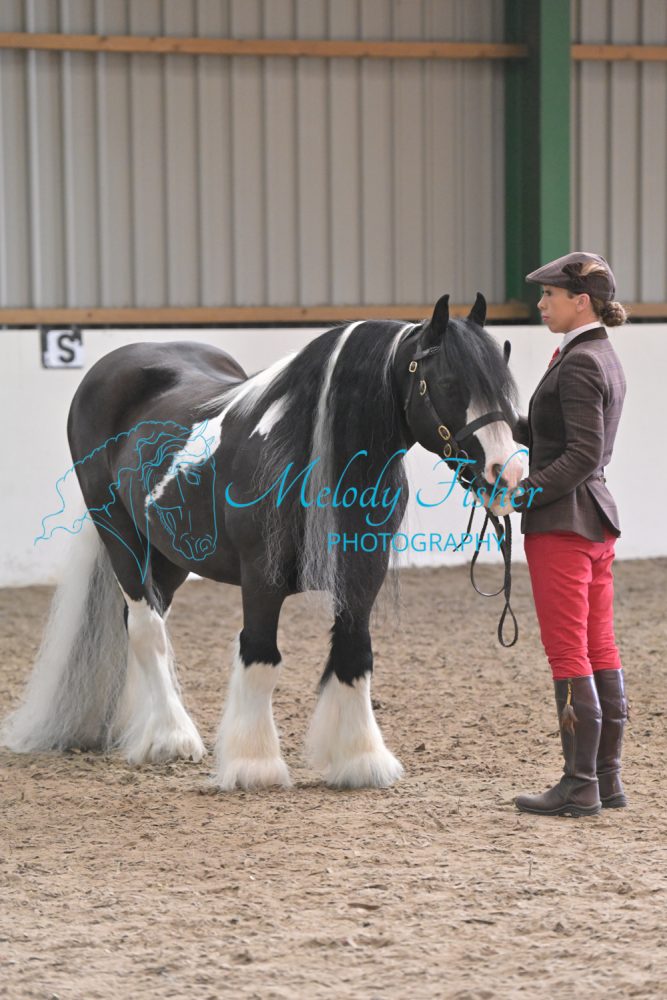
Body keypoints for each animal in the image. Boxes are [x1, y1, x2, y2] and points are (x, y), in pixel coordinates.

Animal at [1, 293, 524, 789]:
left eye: (504, 383)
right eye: (449, 382)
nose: (508, 474)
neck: (313, 454)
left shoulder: (362, 575)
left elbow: (355, 653)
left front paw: (360, 760)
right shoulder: (261, 577)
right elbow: (260, 656)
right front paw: (254, 765)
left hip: (169, 555)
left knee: (141, 622)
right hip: (120, 536)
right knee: (147, 628)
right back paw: (172, 738)